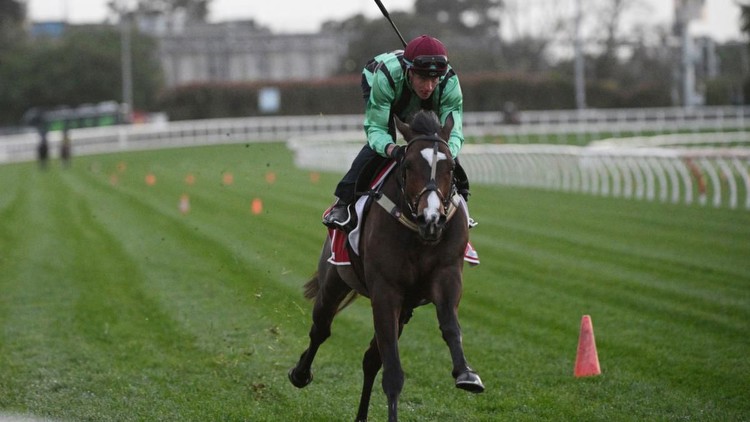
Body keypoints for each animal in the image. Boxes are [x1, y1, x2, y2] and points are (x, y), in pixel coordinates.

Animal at [290, 109, 484, 422]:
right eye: (408, 165)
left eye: (451, 168)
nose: (432, 219)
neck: (419, 235)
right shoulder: (385, 289)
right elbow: (392, 370)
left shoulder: (447, 274)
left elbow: (450, 326)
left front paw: (466, 374)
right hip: (334, 278)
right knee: (321, 328)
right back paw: (299, 373)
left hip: (405, 309)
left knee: (370, 359)